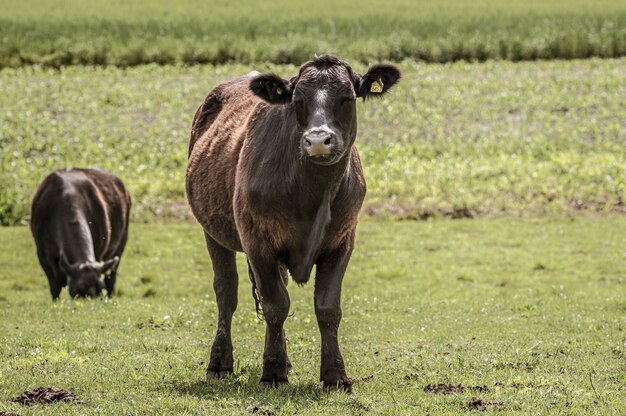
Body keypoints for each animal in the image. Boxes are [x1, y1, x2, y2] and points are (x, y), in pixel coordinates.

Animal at [31, 167, 130, 298]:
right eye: (76, 291)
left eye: (100, 290)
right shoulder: (42, 254)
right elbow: (55, 287)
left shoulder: (99, 253)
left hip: (121, 244)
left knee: (111, 278)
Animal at [185, 55, 400, 390]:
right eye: (297, 100)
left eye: (348, 98)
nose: (318, 140)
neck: (312, 193)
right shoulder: (257, 242)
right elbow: (275, 305)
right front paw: (272, 373)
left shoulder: (341, 243)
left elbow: (327, 308)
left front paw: (335, 375)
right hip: (213, 232)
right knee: (226, 292)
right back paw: (220, 363)